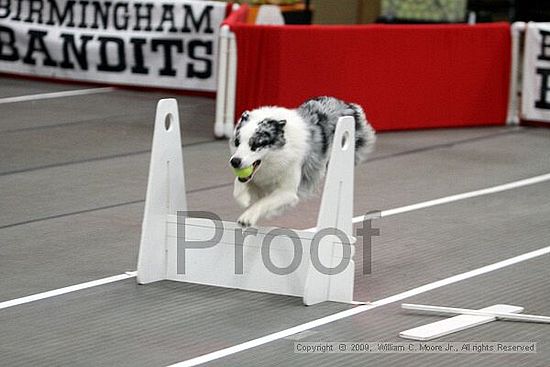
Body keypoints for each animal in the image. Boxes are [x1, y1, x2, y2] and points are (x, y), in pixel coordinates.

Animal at [227, 96, 376, 227]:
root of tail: (347, 105)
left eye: (256, 144)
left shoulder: (287, 192)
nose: (234, 162)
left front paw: (248, 217)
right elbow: (239, 184)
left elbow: (264, 202)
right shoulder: (258, 178)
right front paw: (243, 198)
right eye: (237, 142)